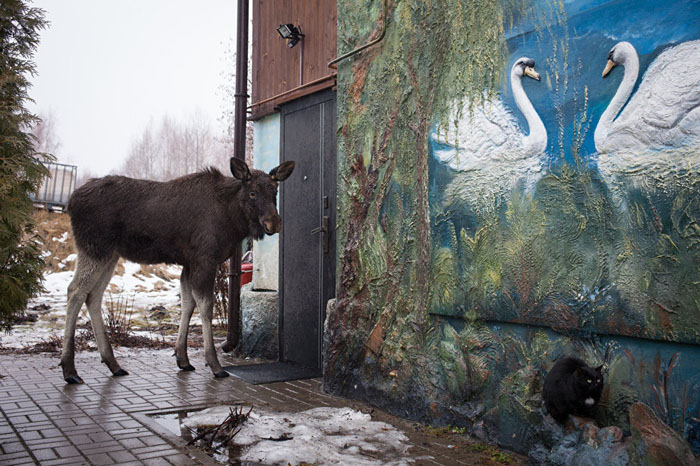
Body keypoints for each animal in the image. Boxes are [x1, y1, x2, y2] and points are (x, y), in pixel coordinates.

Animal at [60, 158, 294, 384]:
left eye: (275, 191)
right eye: (252, 192)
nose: (274, 223)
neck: (231, 220)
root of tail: (70, 202)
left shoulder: (188, 263)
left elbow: (188, 303)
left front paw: (183, 358)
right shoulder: (204, 259)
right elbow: (205, 306)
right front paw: (214, 364)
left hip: (110, 254)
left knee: (94, 295)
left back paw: (112, 364)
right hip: (95, 247)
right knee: (75, 290)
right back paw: (69, 369)